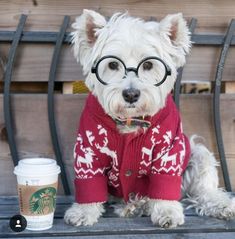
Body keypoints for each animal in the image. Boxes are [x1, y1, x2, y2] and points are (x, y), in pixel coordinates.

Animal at [64, 10, 235, 229]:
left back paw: (220, 204)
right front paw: (83, 211)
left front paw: (167, 211)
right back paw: (134, 205)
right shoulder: (88, 150)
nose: (131, 94)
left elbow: (164, 182)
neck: (130, 120)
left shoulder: (169, 150)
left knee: (203, 190)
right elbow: (89, 182)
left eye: (148, 64)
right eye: (112, 64)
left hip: (197, 154)